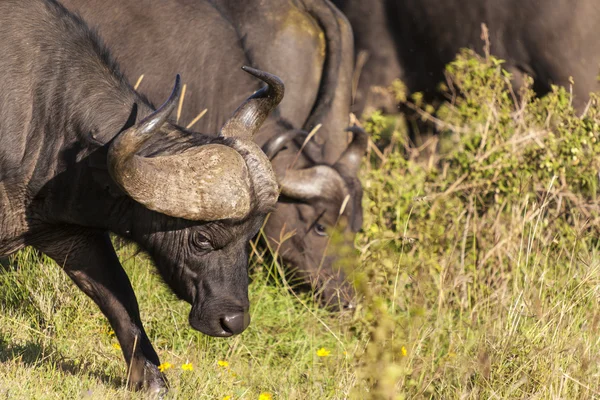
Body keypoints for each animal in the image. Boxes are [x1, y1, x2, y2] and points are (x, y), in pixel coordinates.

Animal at [0, 0, 284, 390]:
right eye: (201, 239)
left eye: (250, 236)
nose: (232, 321)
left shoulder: (66, 232)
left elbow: (120, 296)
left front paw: (151, 380)